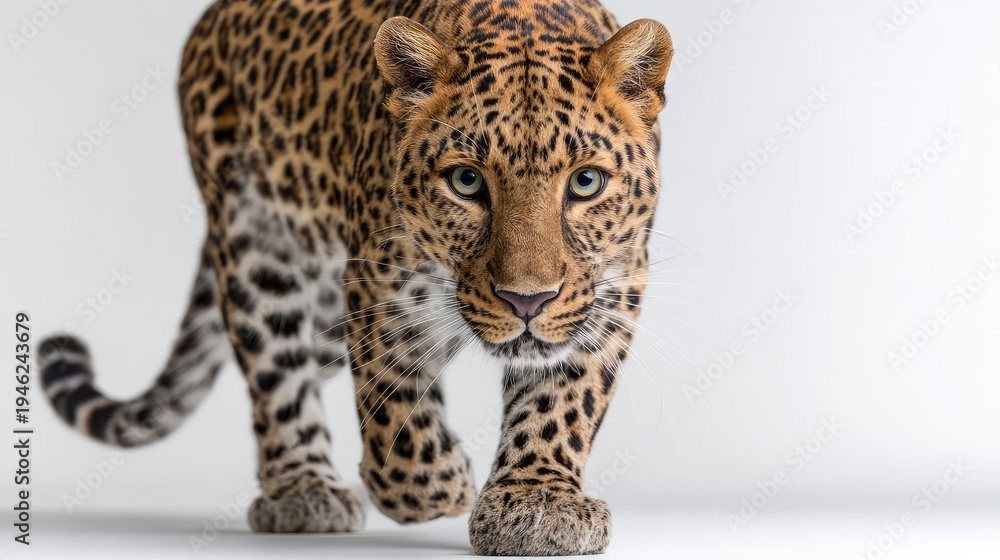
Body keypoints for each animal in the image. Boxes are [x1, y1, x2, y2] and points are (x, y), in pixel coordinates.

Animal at [38, 0, 673, 555]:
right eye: (466, 181)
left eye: (586, 182)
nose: (527, 301)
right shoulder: (378, 289)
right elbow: (394, 415)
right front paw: (443, 484)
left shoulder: (610, 290)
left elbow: (561, 402)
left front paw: (537, 504)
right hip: (253, 244)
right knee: (277, 375)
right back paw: (303, 491)